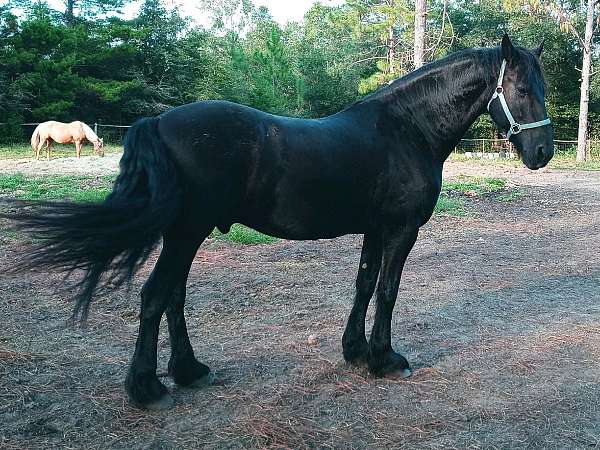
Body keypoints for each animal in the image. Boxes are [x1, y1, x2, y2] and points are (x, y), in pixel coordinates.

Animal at [7, 34, 556, 408]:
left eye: (541, 87)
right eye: (521, 88)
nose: (543, 153)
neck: (406, 130)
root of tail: (159, 122)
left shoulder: (374, 229)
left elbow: (364, 285)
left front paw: (355, 352)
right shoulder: (401, 229)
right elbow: (388, 290)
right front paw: (385, 359)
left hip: (183, 235)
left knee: (173, 298)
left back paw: (189, 370)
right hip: (186, 232)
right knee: (156, 296)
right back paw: (148, 388)